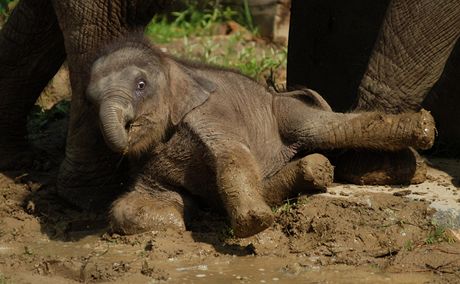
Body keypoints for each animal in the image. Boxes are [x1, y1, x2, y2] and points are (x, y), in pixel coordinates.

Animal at [87, 36, 434, 240]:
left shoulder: (210, 114)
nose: (127, 127)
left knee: (326, 128)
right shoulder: (150, 160)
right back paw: (318, 169)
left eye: (141, 85)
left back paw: (424, 130)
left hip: (285, 111)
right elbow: (130, 204)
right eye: (90, 100)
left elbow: (234, 157)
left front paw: (253, 223)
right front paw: (179, 220)